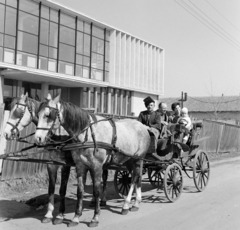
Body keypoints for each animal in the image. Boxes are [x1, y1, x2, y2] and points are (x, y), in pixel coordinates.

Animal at [34, 94, 151, 227]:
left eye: (48, 115)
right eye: (38, 114)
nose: (38, 138)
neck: (87, 134)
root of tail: (143, 126)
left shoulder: (96, 166)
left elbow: (96, 191)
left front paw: (95, 218)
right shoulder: (80, 166)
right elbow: (80, 191)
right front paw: (76, 217)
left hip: (138, 159)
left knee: (134, 179)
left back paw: (126, 205)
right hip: (129, 160)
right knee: (136, 177)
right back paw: (135, 203)